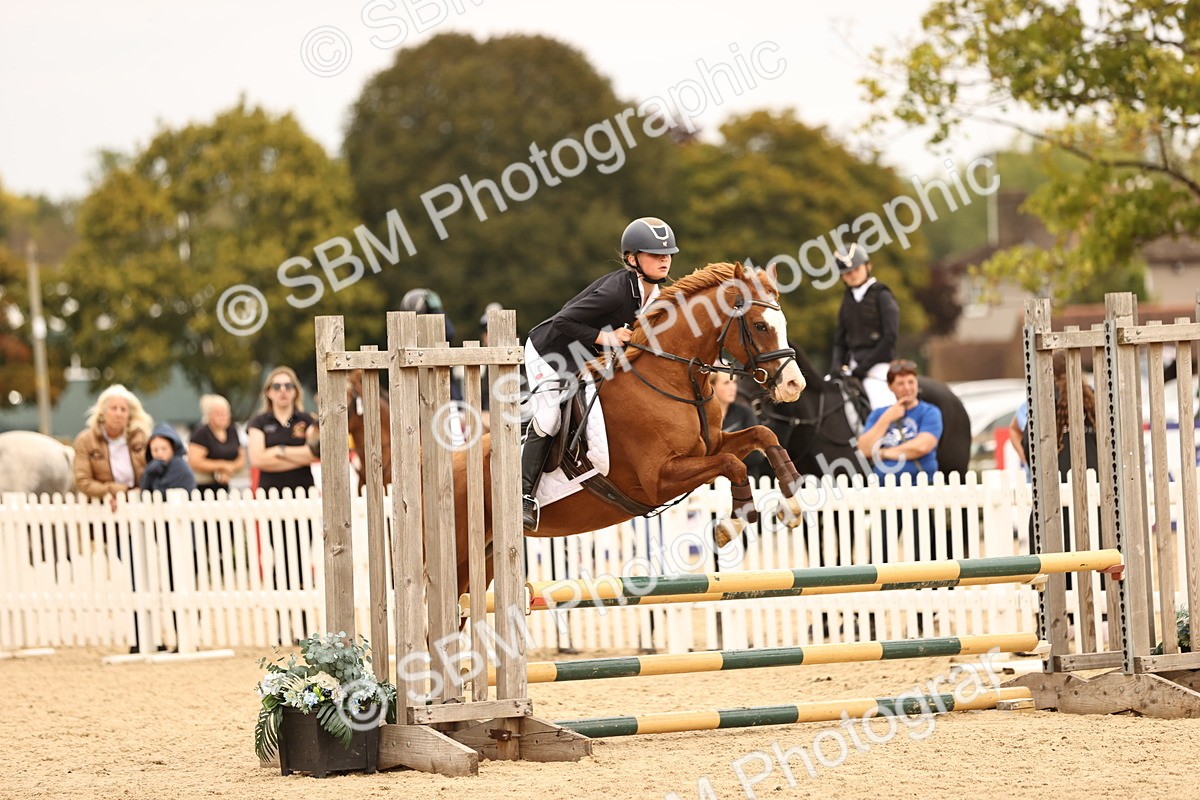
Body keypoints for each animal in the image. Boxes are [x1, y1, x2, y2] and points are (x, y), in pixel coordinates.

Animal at [451, 261, 808, 593]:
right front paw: (730, 524)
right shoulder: (658, 478)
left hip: (487, 556)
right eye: (760, 325)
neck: (672, 379)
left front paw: (791, 500)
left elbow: (762, 435)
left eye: (783, 325)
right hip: (462, 555)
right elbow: (733, 464)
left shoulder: (712, 445)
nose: (794, 385)